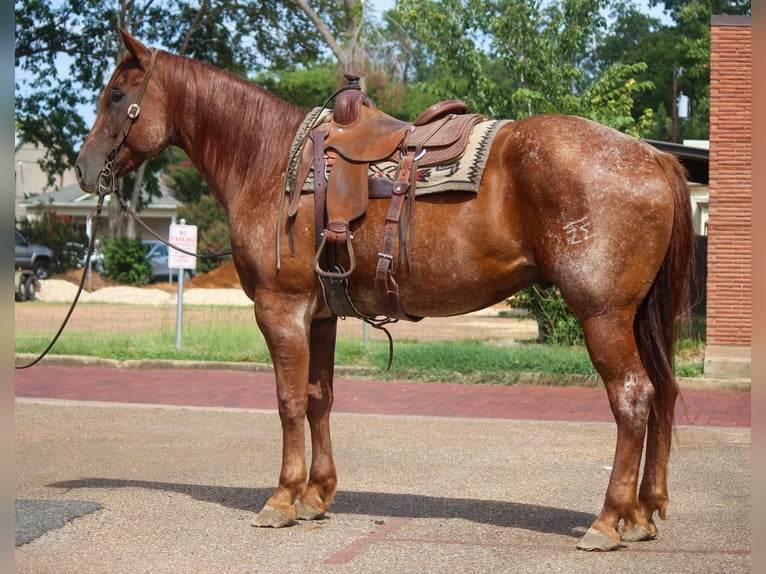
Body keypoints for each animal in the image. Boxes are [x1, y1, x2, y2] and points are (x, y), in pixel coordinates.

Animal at [76, 29, 696, 552]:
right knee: (664, 393)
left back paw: (608, 520)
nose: (84, 169)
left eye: (116, 94)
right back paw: (643, 514)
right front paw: (316, 495)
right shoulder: (320, 315)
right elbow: (320, 398)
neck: (270, 161)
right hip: (640, 316)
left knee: (633, 397)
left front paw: (282, 498)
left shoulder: (281, 309)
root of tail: (652, 154)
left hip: (602, 313)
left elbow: (288, 400)